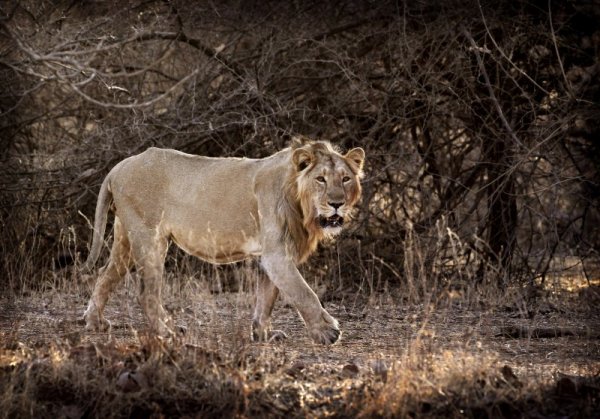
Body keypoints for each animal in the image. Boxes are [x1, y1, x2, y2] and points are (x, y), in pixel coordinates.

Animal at [83, 138, 366, 344]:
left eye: (345, 179)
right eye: (320, 179)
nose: (337, 203)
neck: (300, 201)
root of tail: (119, 167)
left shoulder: (270, 254)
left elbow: (267, 297)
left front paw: (263, 334)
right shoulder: (277, 255)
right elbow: (304, 293)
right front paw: (327, 332)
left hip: (125, 238)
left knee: (105, 274)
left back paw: (95, 322)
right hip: (149, 236)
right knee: (145, 291)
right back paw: (167, 331)